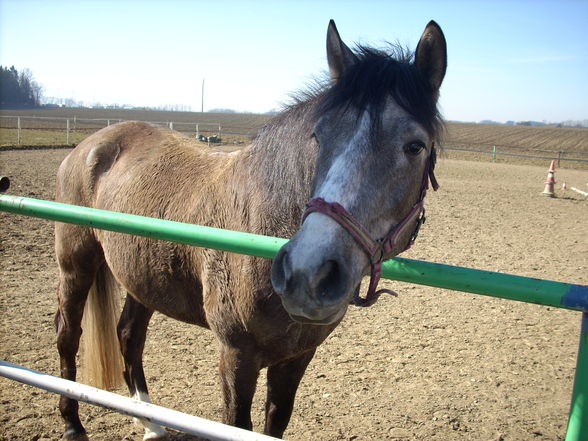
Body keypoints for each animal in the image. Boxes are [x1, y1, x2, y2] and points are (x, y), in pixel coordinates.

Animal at [55, 18, 448, 438]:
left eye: (415, 146)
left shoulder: (296, 358)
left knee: (129, 336)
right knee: (68, 335)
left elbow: (276, 420)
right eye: (319, 136)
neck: (263, 224)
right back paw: (72, 423)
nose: (308, 275)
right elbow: (238, 423)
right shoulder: (236, 357)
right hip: (76, 266)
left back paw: (151, 423)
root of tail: (94, 144)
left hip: (141, 278)